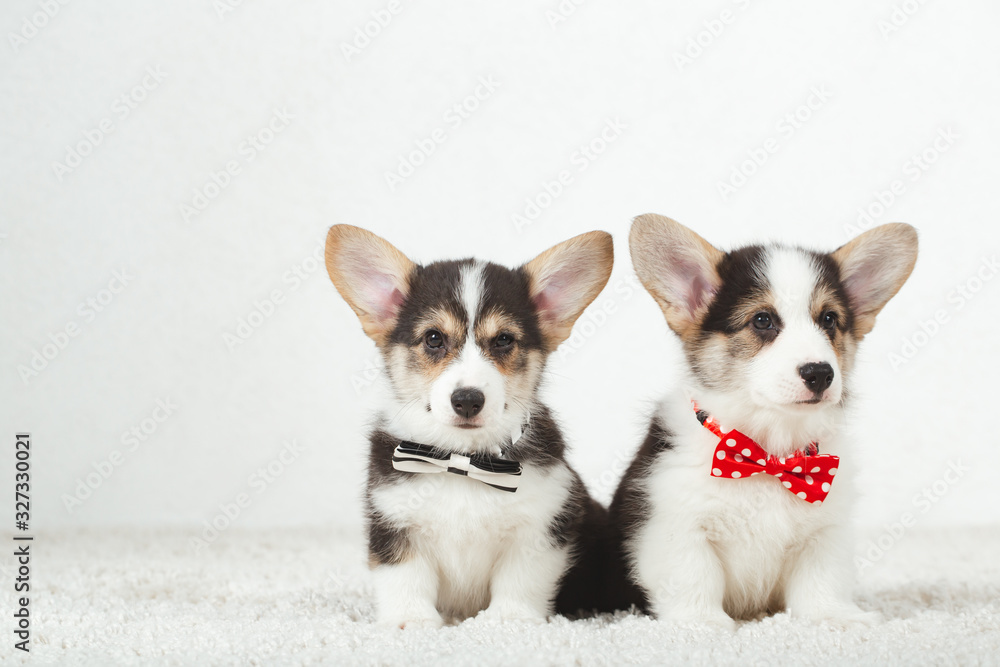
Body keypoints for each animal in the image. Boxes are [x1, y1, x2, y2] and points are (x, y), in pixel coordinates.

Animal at [324, 227, 612, 628]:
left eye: (504, 339)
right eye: (433, 338)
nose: (467, 400)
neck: (462, 458)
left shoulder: (541, 526)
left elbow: (521, 580)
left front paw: (510, 618)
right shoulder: (394, 522)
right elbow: (405, 578)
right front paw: (410, 620)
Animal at [604, 217, 916, 628]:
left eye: (829, 319)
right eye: (763, 320)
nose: (820, 373)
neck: (768, 453)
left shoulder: (824, 532)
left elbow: (822, 581)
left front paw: (836, 616)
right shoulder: (676, 525)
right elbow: (694, 575)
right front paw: (701, 621)